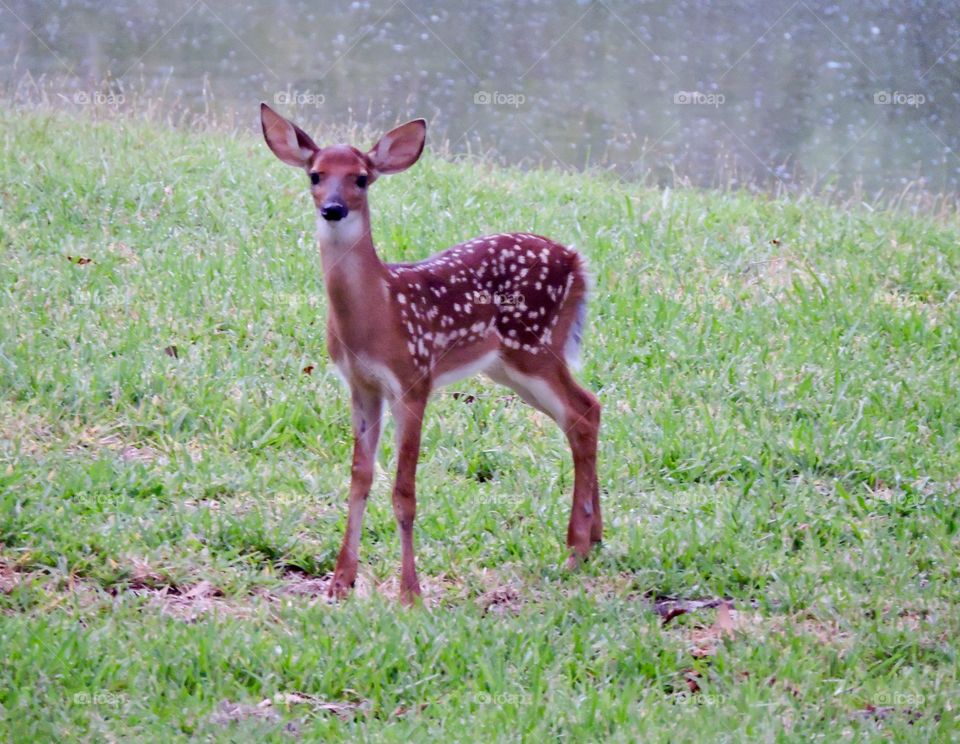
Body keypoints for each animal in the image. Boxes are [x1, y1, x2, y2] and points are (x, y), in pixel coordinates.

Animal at [260, 103, 600, 604]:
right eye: (315, 174)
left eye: (361, 178)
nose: (333, 208)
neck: (377, 312)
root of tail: (578, 261)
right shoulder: (361, 385)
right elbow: (360, 477)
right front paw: (342, 581)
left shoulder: (414, 378)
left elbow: (404, 492)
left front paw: (410, 593)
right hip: (509, 365)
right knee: (585, 411)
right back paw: (593, 541)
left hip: (534, 346)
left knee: (582, 410)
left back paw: (575, 549)